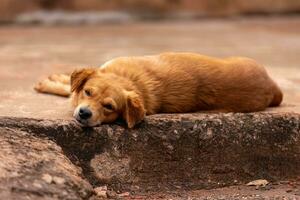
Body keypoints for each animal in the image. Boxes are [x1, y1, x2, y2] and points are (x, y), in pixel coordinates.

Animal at [34, 52, 282, 128]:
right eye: (88, 92)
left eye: (109, 107)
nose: (85, 113)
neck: (127, 79)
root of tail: (272, 85)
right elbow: (70, 87)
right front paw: (57, 80)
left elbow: (67, 91)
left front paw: (51, 83)